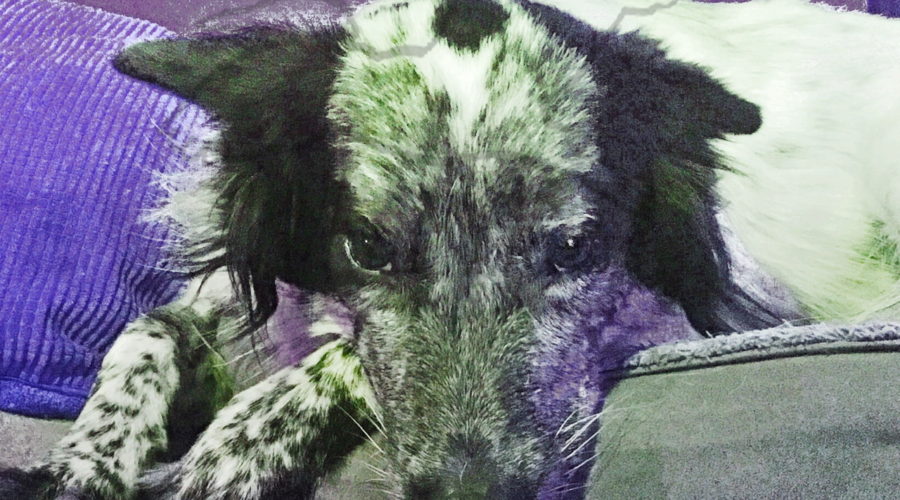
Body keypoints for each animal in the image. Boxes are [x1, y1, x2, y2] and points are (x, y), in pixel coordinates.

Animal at [1, 0, 892, 498]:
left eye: (573, 248)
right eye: (366, 246)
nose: (474, 495)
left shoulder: (691, 315)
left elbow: (336, 358)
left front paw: (239, 444)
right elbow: (146, 331)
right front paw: (87, 458)